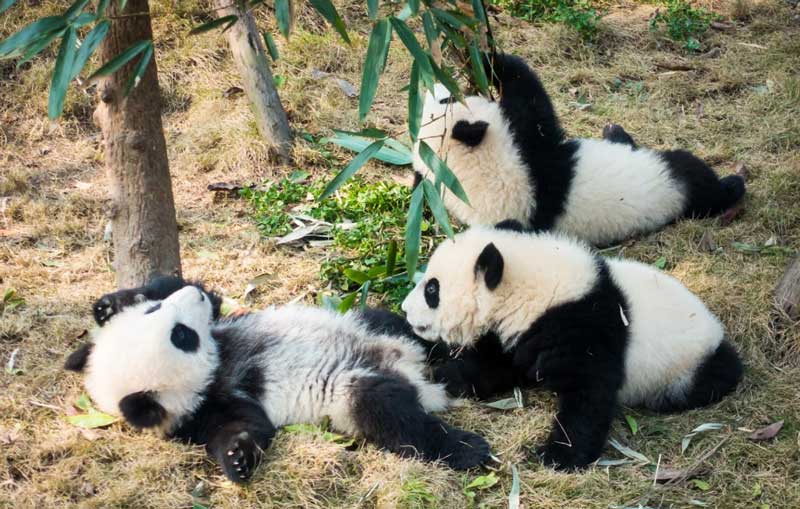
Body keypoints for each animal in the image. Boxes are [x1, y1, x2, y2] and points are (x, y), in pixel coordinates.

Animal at [64, 276, 490, 483]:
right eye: (181, 335)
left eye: (155, 312)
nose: (191, 299)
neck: (218, 365)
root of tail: (416, 377)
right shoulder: (202, 410)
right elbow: (243, 426)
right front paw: (237, 459)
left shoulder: (223, 324)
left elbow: (206, 294)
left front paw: (108, 306)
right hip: (349, 390)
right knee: (394, 416)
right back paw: (468, 447)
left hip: (368, 324)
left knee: (404, 329)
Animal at [401, 224, 743, 470]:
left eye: (432, 290)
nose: (405, 309)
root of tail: (717, 332)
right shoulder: (524, 332)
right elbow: (498, 365)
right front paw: (444, 372)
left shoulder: (582, 328)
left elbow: (590, 392)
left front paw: (558, 456)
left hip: (688, 365)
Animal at [412, 52, 746, 246]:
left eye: (442, 100)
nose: (435, 85)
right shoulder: (527, 165)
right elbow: (535, 105)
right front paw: (487, 55)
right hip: (672, 179)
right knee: (697, 179)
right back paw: (732, 186)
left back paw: (613, 131)